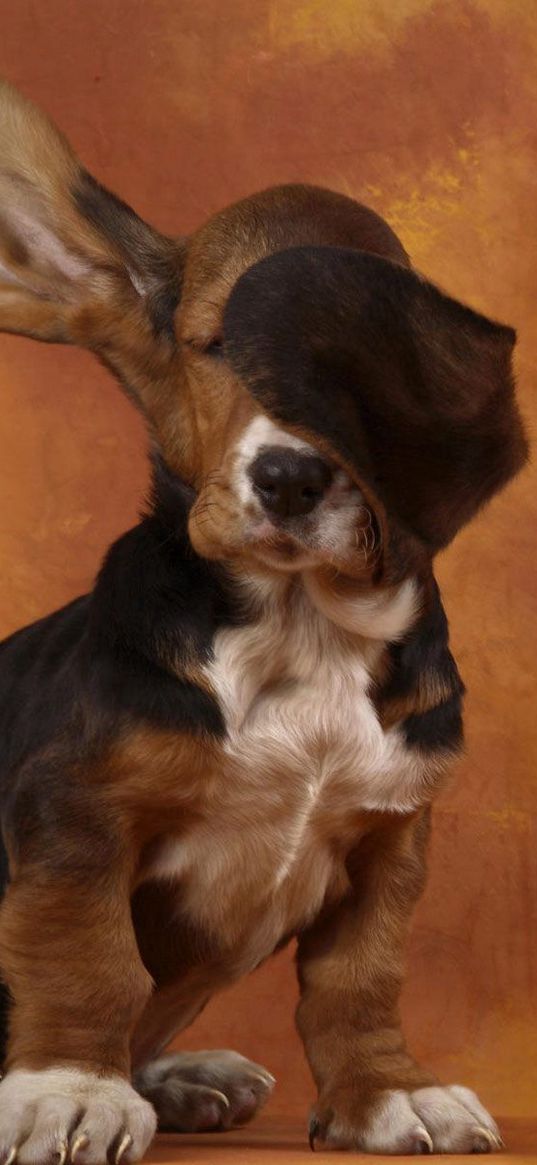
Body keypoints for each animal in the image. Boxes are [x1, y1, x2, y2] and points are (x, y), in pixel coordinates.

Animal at [0, 77, 526, 1160]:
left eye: (366, 377)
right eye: (216, 346)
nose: (289, 477)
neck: (300, 627)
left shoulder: (389, 840)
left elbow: (359, 983)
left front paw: (389, 1090)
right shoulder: (73, 809)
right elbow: (86, 957)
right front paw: (72, 1085)